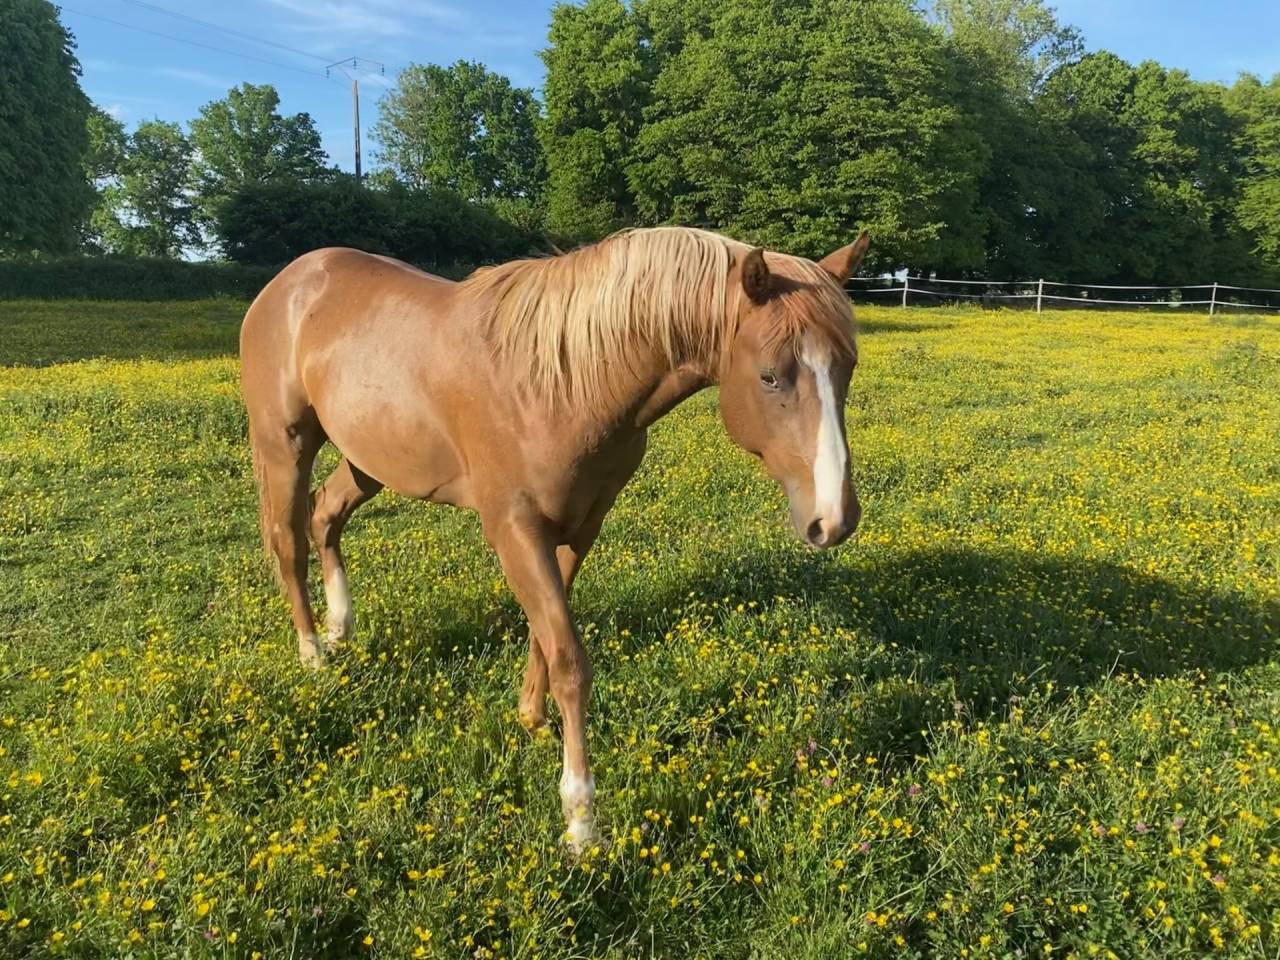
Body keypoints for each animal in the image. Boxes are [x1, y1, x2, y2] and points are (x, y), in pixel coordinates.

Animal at [239, 226, 869, 849]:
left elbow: (545, 634)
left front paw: (530, 718)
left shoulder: (581, 526)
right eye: (769, 376)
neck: (561, 384)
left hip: (370, 458)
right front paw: (580, 818)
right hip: (285, 445)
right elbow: (570, 659)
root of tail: (291, 281)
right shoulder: (514, 530)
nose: (833, 520)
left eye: (846, 368)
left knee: (326, 517)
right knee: (290, 542)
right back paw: (313, 654)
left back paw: (340, 628)